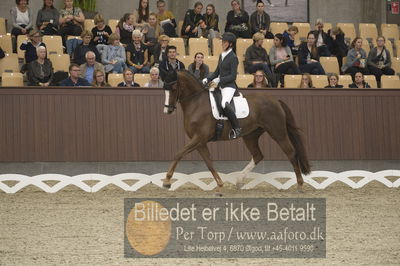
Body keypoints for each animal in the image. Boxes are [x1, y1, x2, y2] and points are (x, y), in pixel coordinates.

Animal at [162, 70, 310, 195]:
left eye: (173, 88)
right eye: (164, 88)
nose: (167, 110)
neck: (196, 103)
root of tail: (276, 101)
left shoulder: (199, 138)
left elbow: (178, 154)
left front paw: (167, 181)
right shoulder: (200, 142)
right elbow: (209, 163)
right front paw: (220, 186)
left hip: (277, 132)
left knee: (291, 153)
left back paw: (300, 185)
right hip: (250, 136)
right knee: (258, 155)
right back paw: (239, 181)